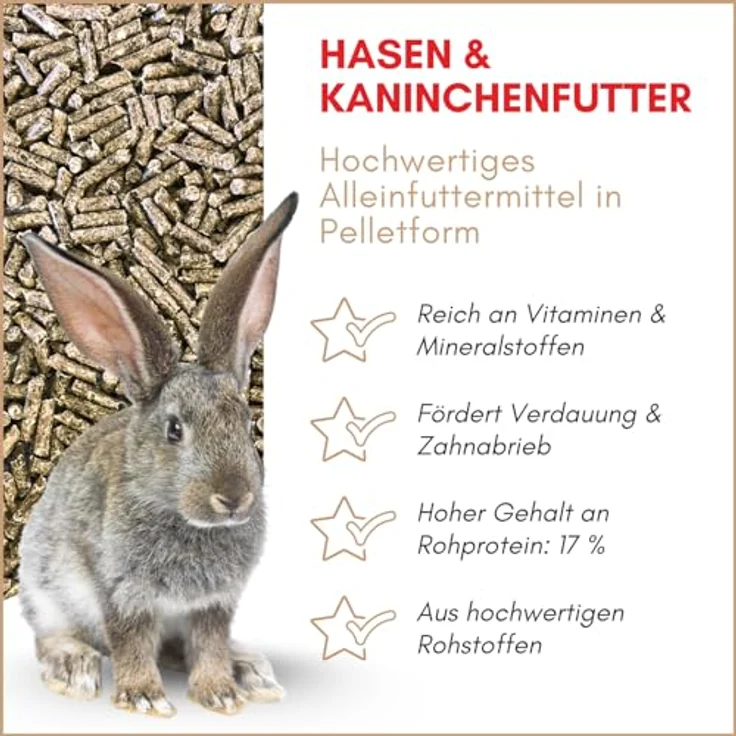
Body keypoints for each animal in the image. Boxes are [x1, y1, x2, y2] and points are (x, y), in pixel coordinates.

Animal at [16, 192, 298, 717]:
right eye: (174, 430)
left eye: (247, 424)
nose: (234, 497)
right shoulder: (122, 593)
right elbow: (130, 642)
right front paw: (145, 699)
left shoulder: (213, 603)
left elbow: (208, 645)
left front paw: (220, 693)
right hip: (46, 590)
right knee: (52, 636)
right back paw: (73, 667)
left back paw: (249, 672)